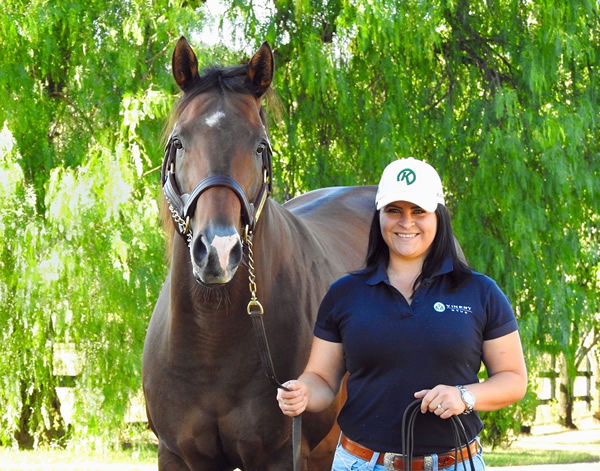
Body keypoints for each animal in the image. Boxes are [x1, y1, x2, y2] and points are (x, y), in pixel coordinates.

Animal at [142, 37, 376, 471]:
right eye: (179, 142)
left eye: (260, 145)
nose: (218, 250)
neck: (211, 341)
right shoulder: (177, 454)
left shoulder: (282, 456)